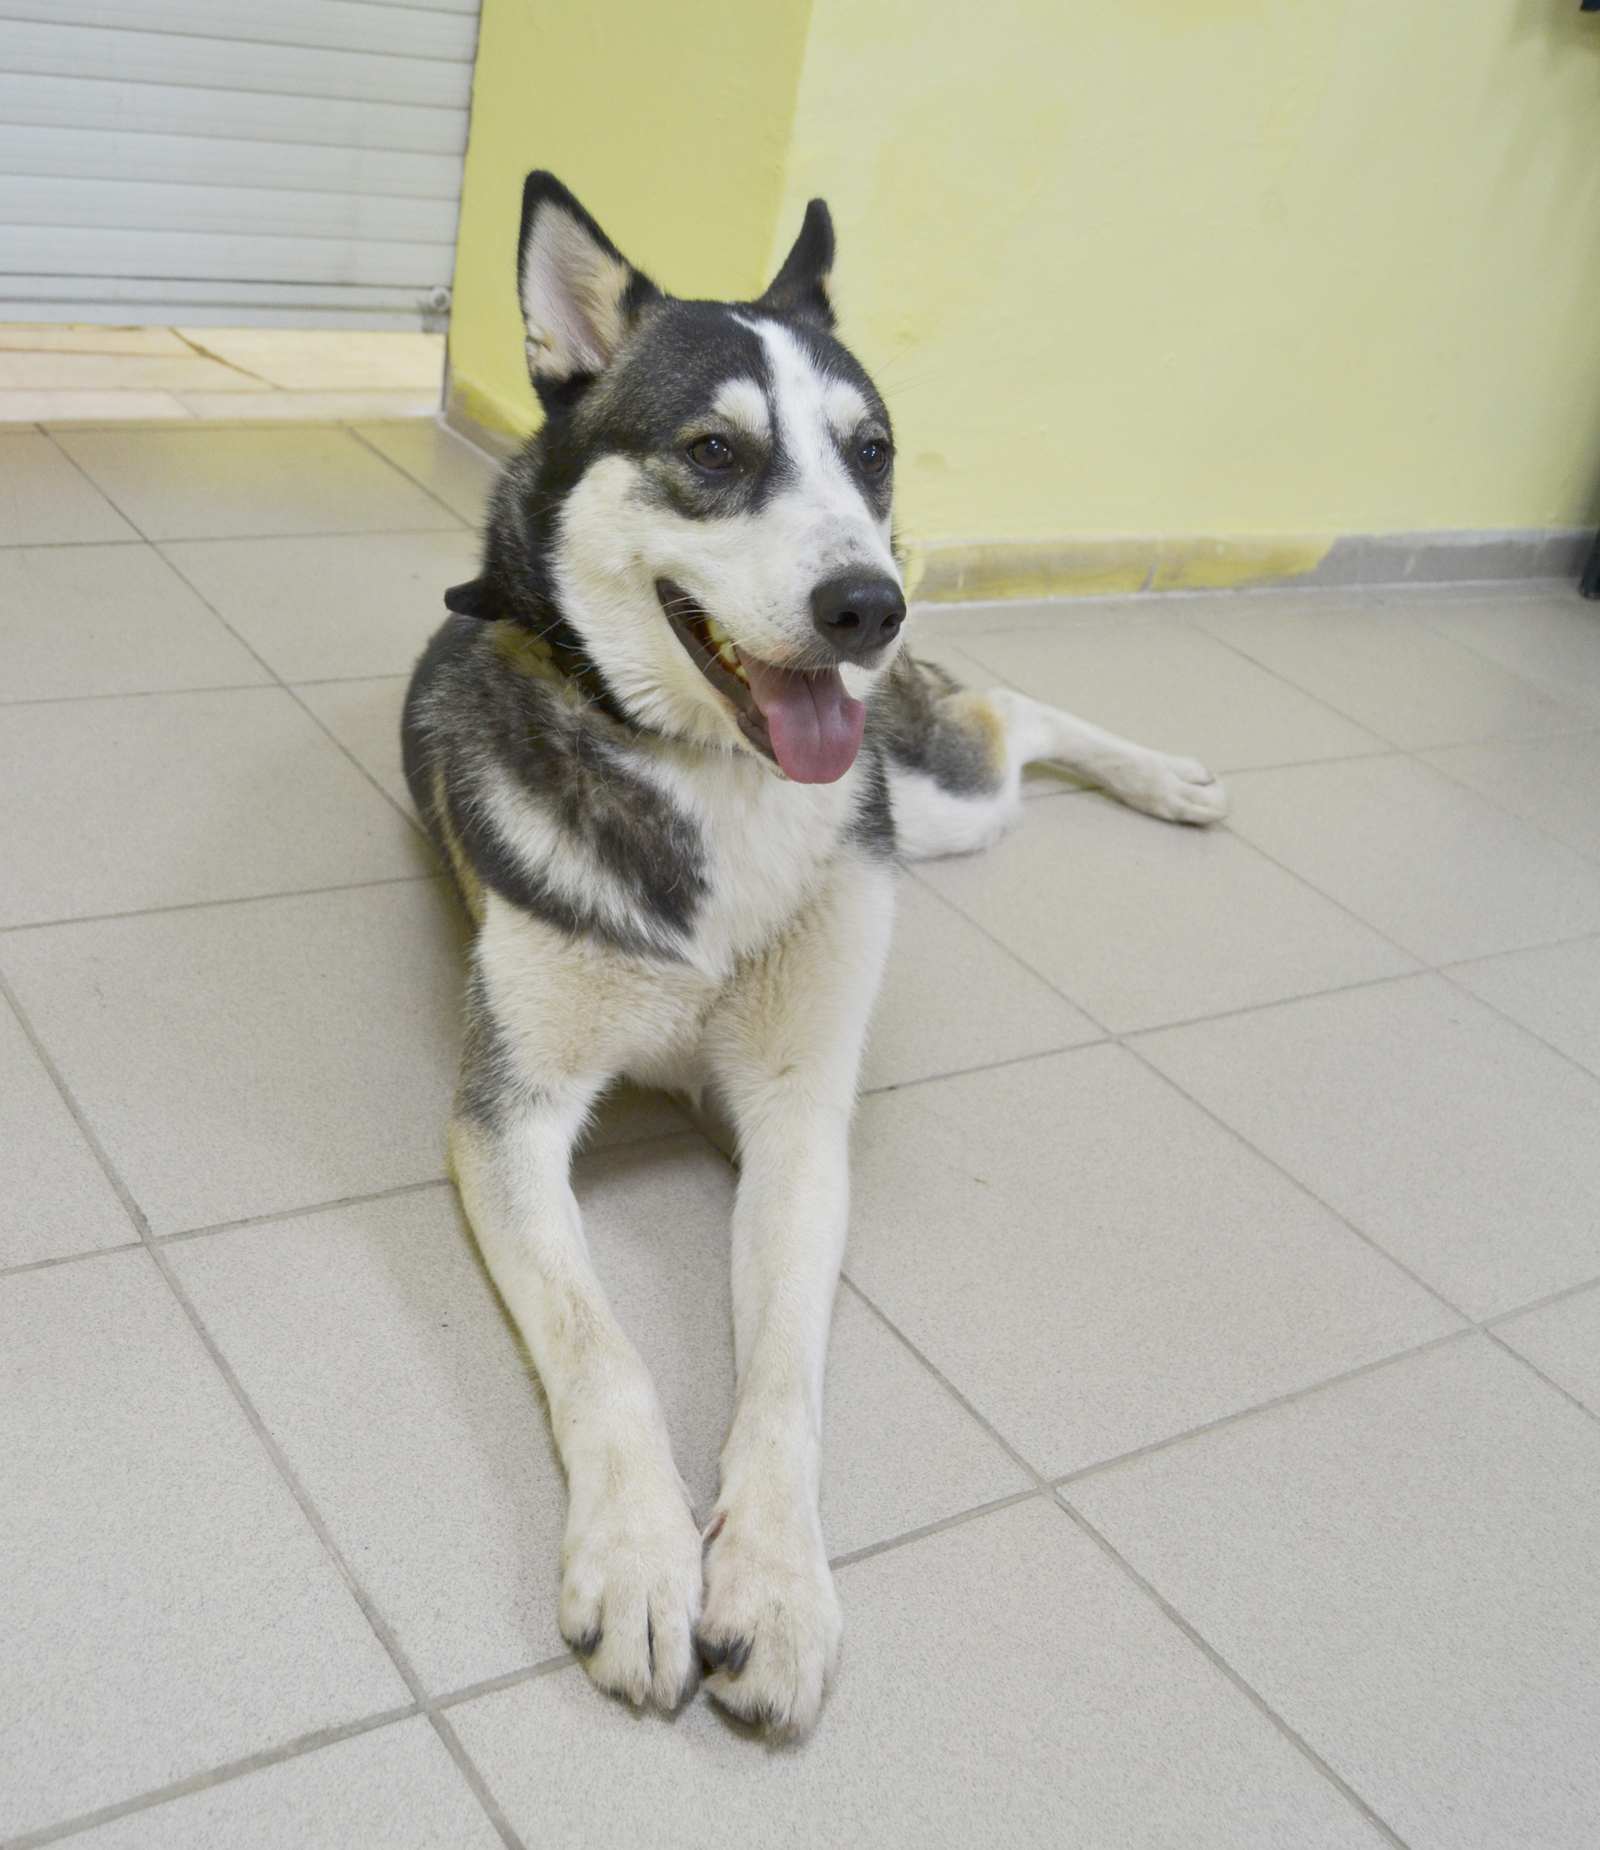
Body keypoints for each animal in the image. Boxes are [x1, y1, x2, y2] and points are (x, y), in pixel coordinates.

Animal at [405, 170, 1228, 1731]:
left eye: (872, 452)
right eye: (714, 451)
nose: (867, 604)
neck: (709, 776)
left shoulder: (796, 1117)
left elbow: (784, 1375)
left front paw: (776, 1586)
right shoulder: (509, 1115)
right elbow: (604, 1353)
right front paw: (644, 1560)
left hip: (934, 803)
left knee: (1003, 718)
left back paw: (1168, 778)